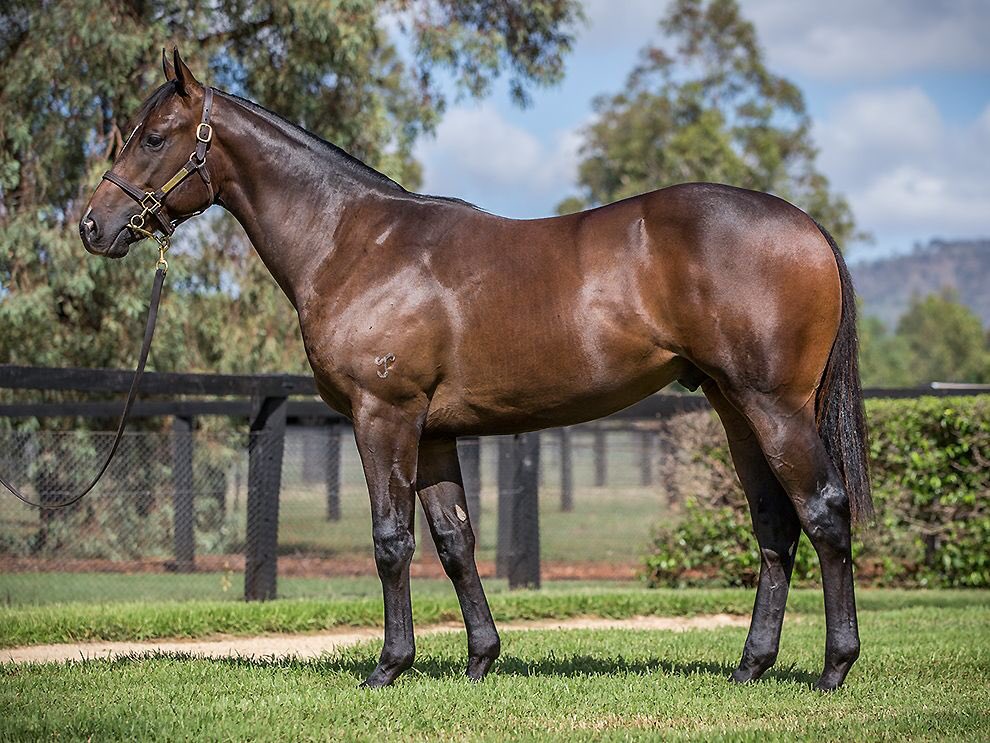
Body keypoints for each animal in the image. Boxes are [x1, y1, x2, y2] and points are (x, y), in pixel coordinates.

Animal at [80, 49, 872, 691]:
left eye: (156, 137)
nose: (92, 226)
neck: (355, 242)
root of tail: (805, 227)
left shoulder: (384, 415)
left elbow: (391, 541)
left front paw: (388, 666)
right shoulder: (432, 432)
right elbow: (455, 541)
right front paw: (480, 659)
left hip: (773, 406)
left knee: (824, 512)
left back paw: (834, 667)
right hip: (733, 407)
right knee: (774, 524)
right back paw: (750, 666)